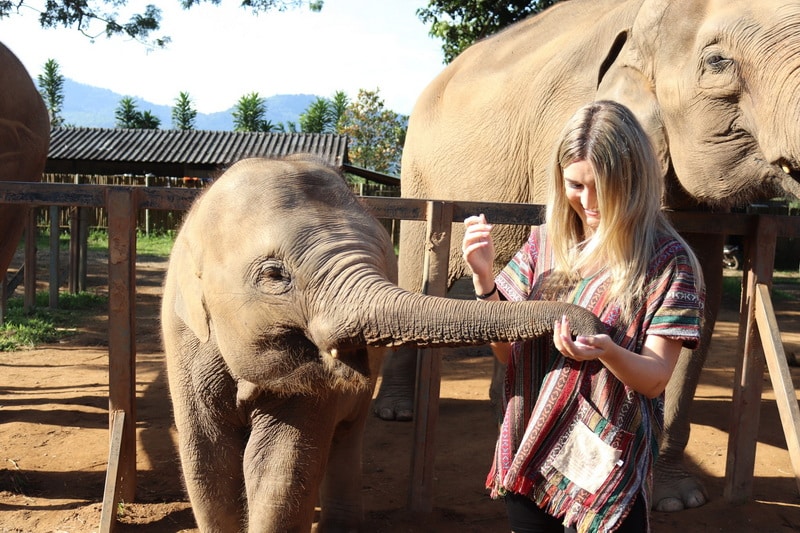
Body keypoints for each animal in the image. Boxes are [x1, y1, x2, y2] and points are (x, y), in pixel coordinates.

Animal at [159, 155, 604, 532]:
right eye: (273, 275)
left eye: (382, 265)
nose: (584, 332)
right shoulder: (183, 342)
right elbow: (209, 464)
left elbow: (278, 468)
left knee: (344, 437)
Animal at [374, 0, 800, 512]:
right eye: (718, 62)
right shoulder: (559, 132)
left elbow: (704, 290)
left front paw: (677, 500)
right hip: (416, 169)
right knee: (413, 265)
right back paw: (396, 411)